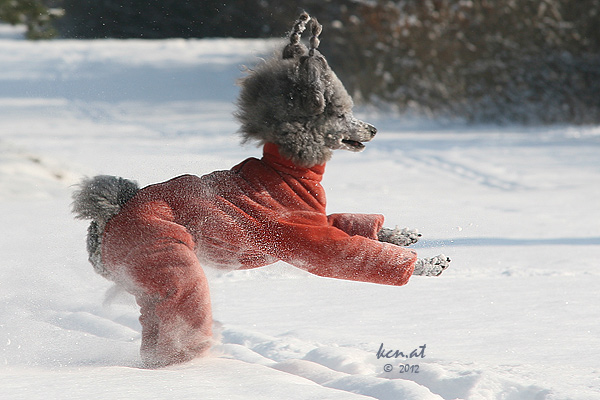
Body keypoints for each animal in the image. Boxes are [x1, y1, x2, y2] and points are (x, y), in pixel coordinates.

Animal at [72, 12, 450, 368]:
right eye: (342, 114)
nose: (373, 129)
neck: (287, 169)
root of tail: (109, 216)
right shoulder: (303, 236)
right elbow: (351, 255)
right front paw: (428, 265)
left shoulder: (315, 218)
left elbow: (350, 223)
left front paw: (400, 234)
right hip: (161, 251)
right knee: (181, 299)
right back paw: (187, 361)